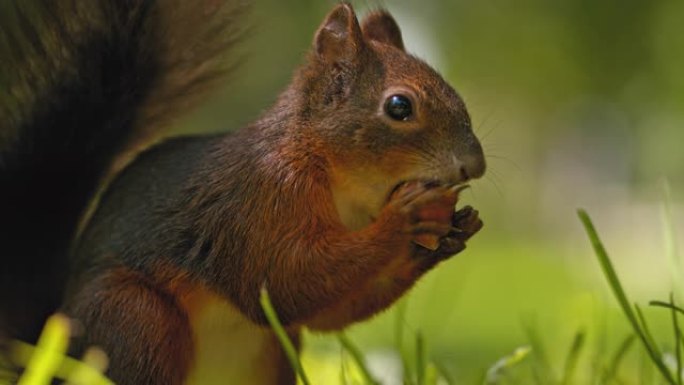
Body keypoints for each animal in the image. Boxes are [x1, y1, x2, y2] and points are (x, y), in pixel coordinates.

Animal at [4, 0, 486, 384]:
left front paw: (448, 236)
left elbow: (327, 313)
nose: (475, 166)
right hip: (133, 318)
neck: (345, 183)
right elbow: (284, 279)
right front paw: (404, 220)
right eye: (399, 106)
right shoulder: (254, 203)